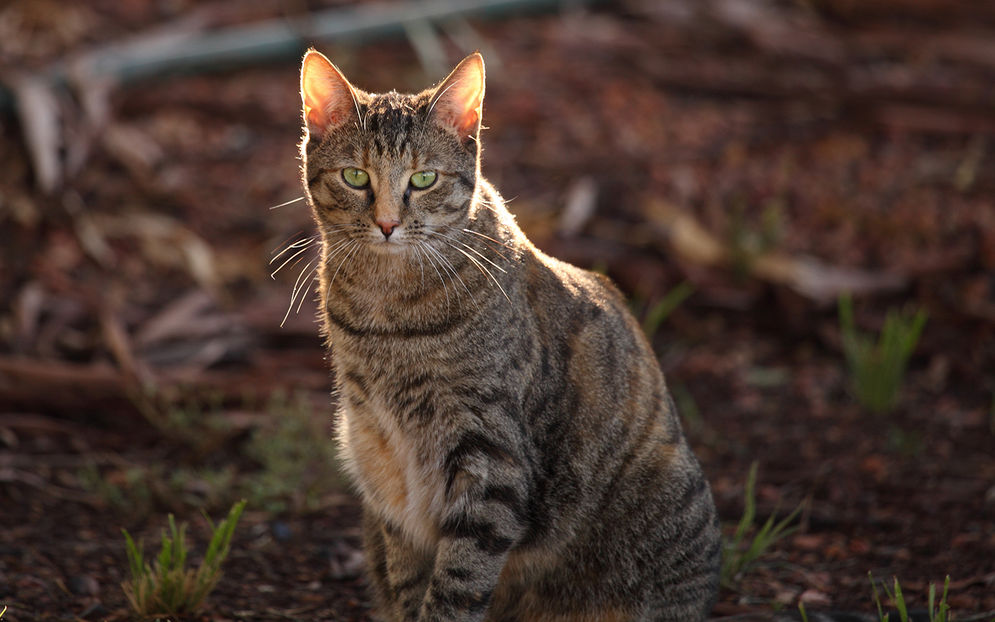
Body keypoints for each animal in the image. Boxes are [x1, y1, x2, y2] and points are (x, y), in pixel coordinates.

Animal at [300, 50, 720, 622]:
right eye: (354, 176)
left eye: (424, 179)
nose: (387, 224)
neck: (386, 309)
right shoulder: (381, 456)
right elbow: (409, 578)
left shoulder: (488, 456)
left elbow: (457, 585)